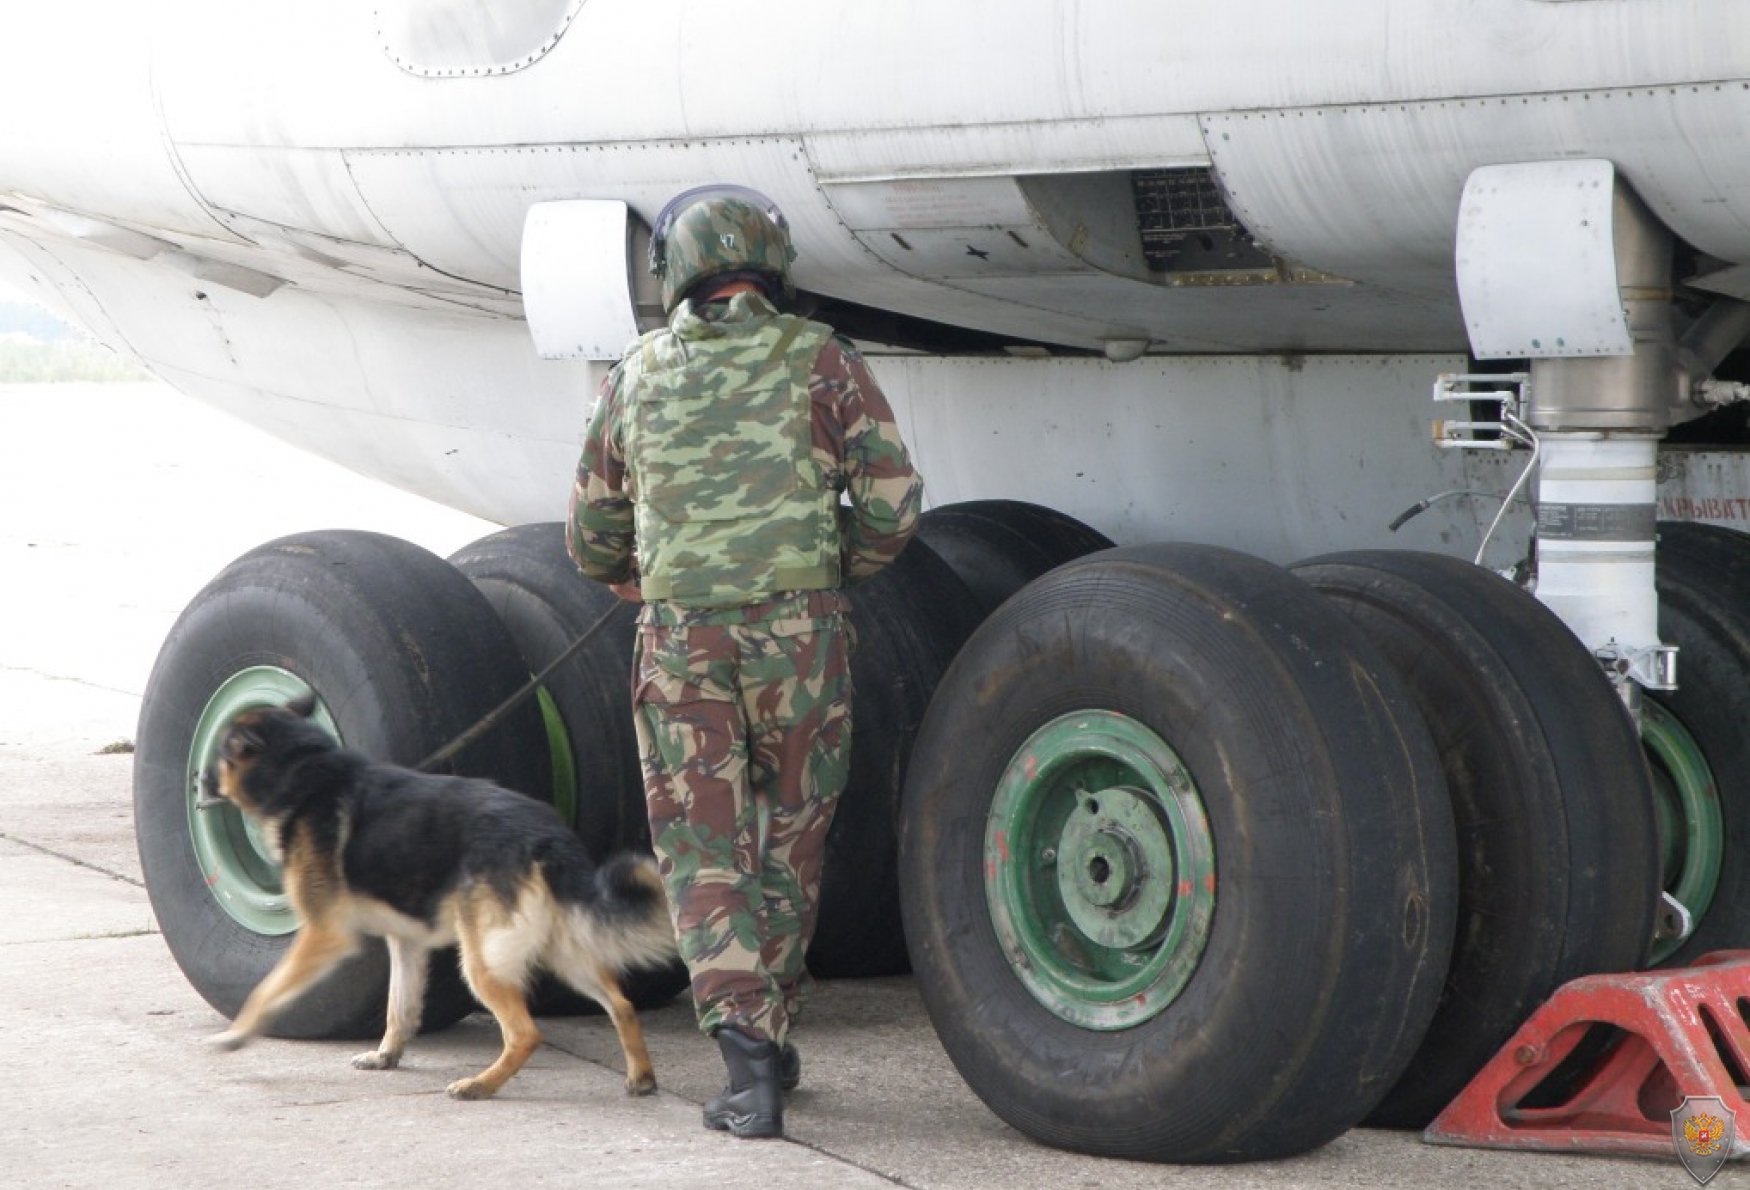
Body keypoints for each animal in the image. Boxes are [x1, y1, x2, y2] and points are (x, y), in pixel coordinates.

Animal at [198, 693, 675, 1099]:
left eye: (220, 755)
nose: (197, 780)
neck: (303, 770)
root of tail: (547, 837)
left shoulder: (323, 935)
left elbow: (265, 989)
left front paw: (236, 1035)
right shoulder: (407, 942)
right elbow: (400, 1006)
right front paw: (386, 1055)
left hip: (483, 960)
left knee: (525, 1033)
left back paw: (480, 1085)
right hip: (561, 951)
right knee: (621, 1004)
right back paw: (641, 1077)